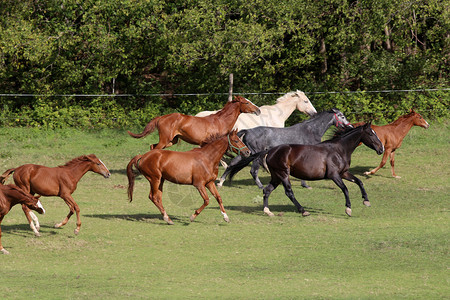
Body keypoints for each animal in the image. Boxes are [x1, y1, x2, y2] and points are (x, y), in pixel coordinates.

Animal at [126, 95, 260, 149]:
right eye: (246, 102)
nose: (258, 110)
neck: (220, 121)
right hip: (165, 140)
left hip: (172, 141)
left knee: (152, 146)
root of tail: (161, 117)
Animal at [216, 108, 354, 188]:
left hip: (246, 153)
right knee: (253, 171)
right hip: (255, 154)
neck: (311, 130)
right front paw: (305, 184)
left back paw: (221, 182)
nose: (350, 126)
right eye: (342, 116)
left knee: (233, 163)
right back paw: (260, 186)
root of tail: (248, 131)